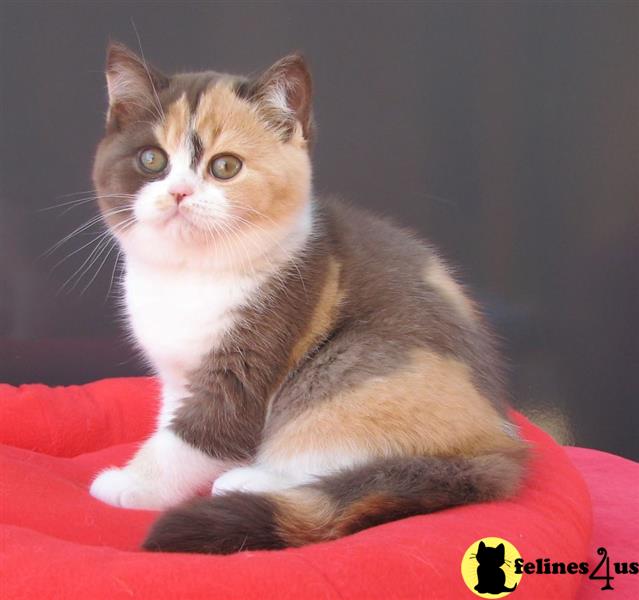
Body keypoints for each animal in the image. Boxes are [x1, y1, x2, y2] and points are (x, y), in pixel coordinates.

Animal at [91, 42, 528, 556]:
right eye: (151, 160)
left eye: (225, 166)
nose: (179, 192)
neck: (191, 274)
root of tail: (500, 443)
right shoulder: (181, 377)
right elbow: (170, 421)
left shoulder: (255, 354)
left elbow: (198, 436)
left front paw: (133, 484)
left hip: (352, 366)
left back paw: (250, 481)